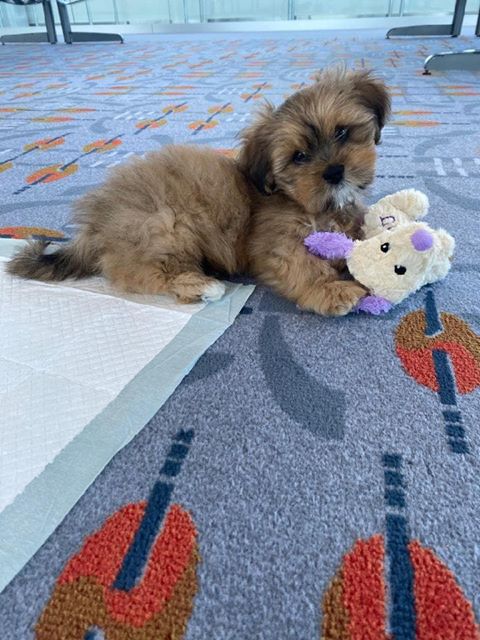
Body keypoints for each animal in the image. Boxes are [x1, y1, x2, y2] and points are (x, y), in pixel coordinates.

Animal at [8, 68, 390, 316]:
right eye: (299, 156)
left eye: (341, 132)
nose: (334, 172)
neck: (306, 202)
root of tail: (94, 224)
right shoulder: (276, 242)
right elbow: (303, 265)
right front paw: (332, 289)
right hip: (162, 224)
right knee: (138, 272)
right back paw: (202, 284)